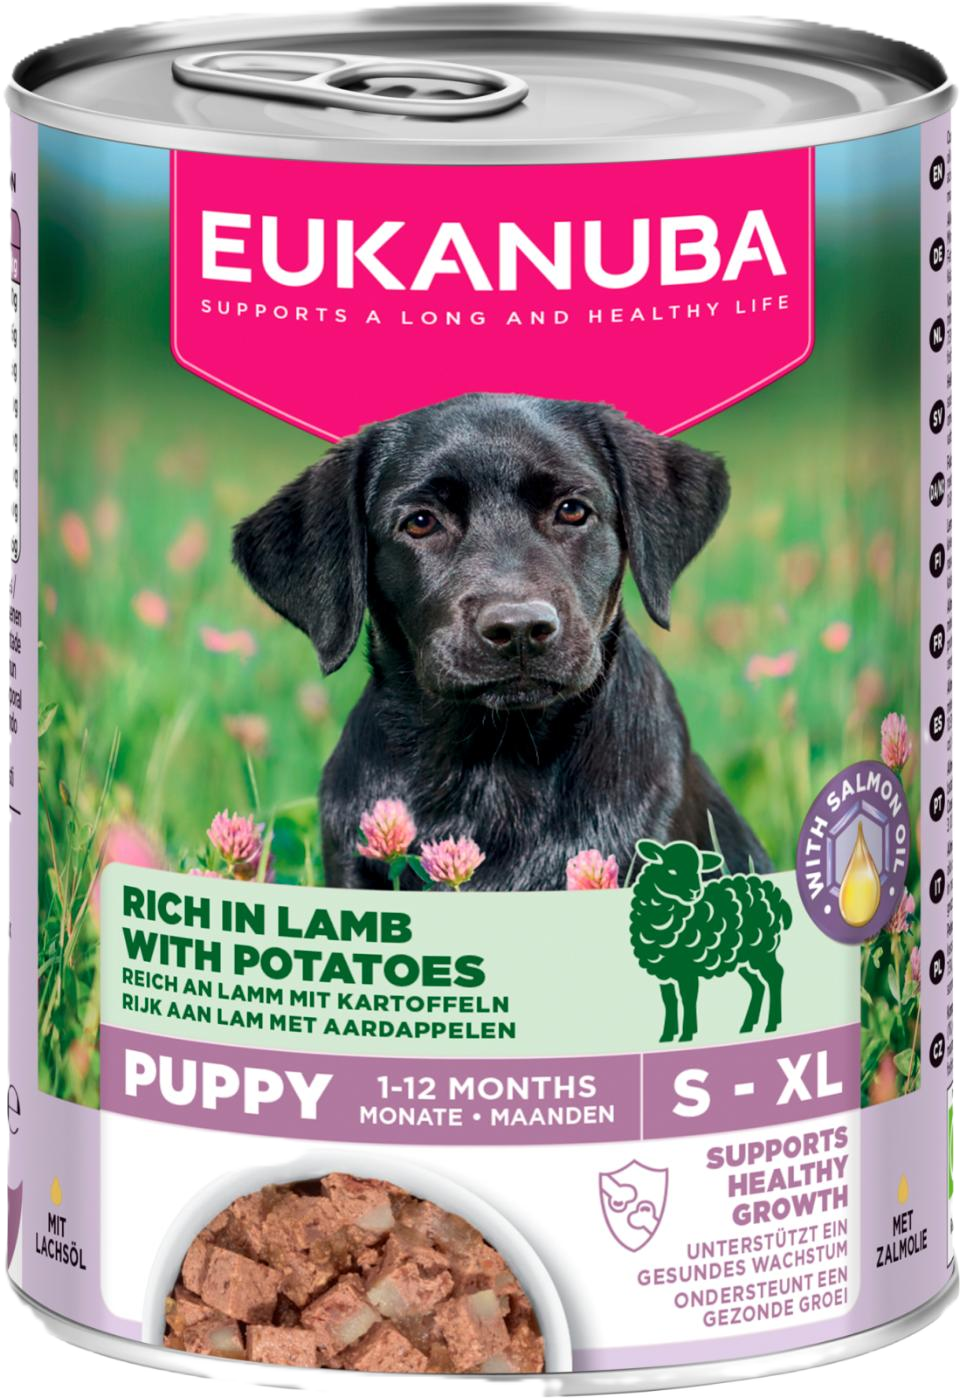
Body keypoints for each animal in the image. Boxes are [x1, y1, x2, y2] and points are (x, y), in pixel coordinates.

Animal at [629, 839, 792, 1043]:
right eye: (671, 871)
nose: (694, 892)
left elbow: (687, 999)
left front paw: (686, 1034)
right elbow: (670, 1001)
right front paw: (668, 1035)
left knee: (774, 975)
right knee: (757, 984)